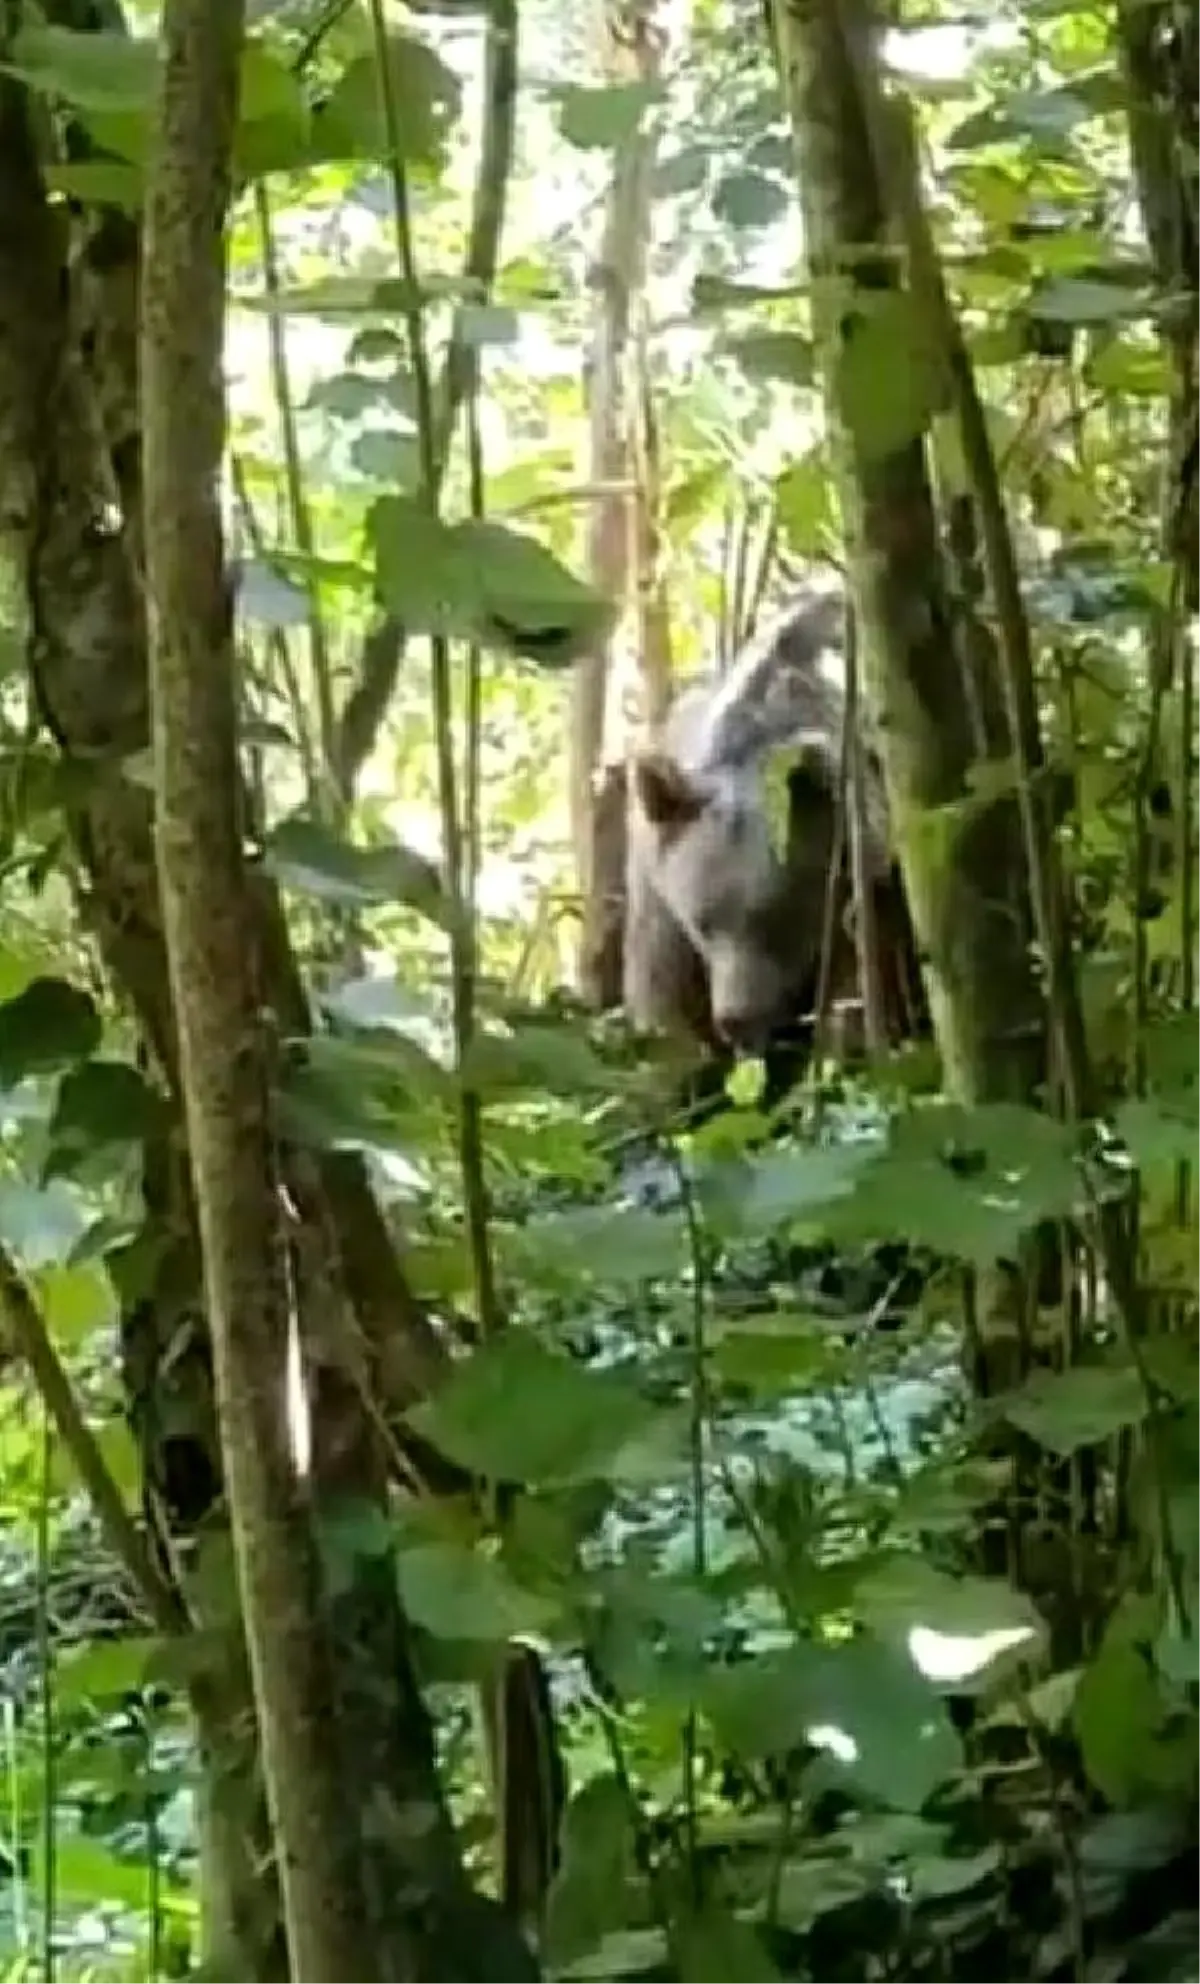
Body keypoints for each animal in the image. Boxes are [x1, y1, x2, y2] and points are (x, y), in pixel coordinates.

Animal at [622, 575, 920, 1103]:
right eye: (703, 924)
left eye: (777, 917)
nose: (736, 1019)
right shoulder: (657, 888)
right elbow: (664, 1010)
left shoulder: (861, 876)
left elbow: (855, 998)